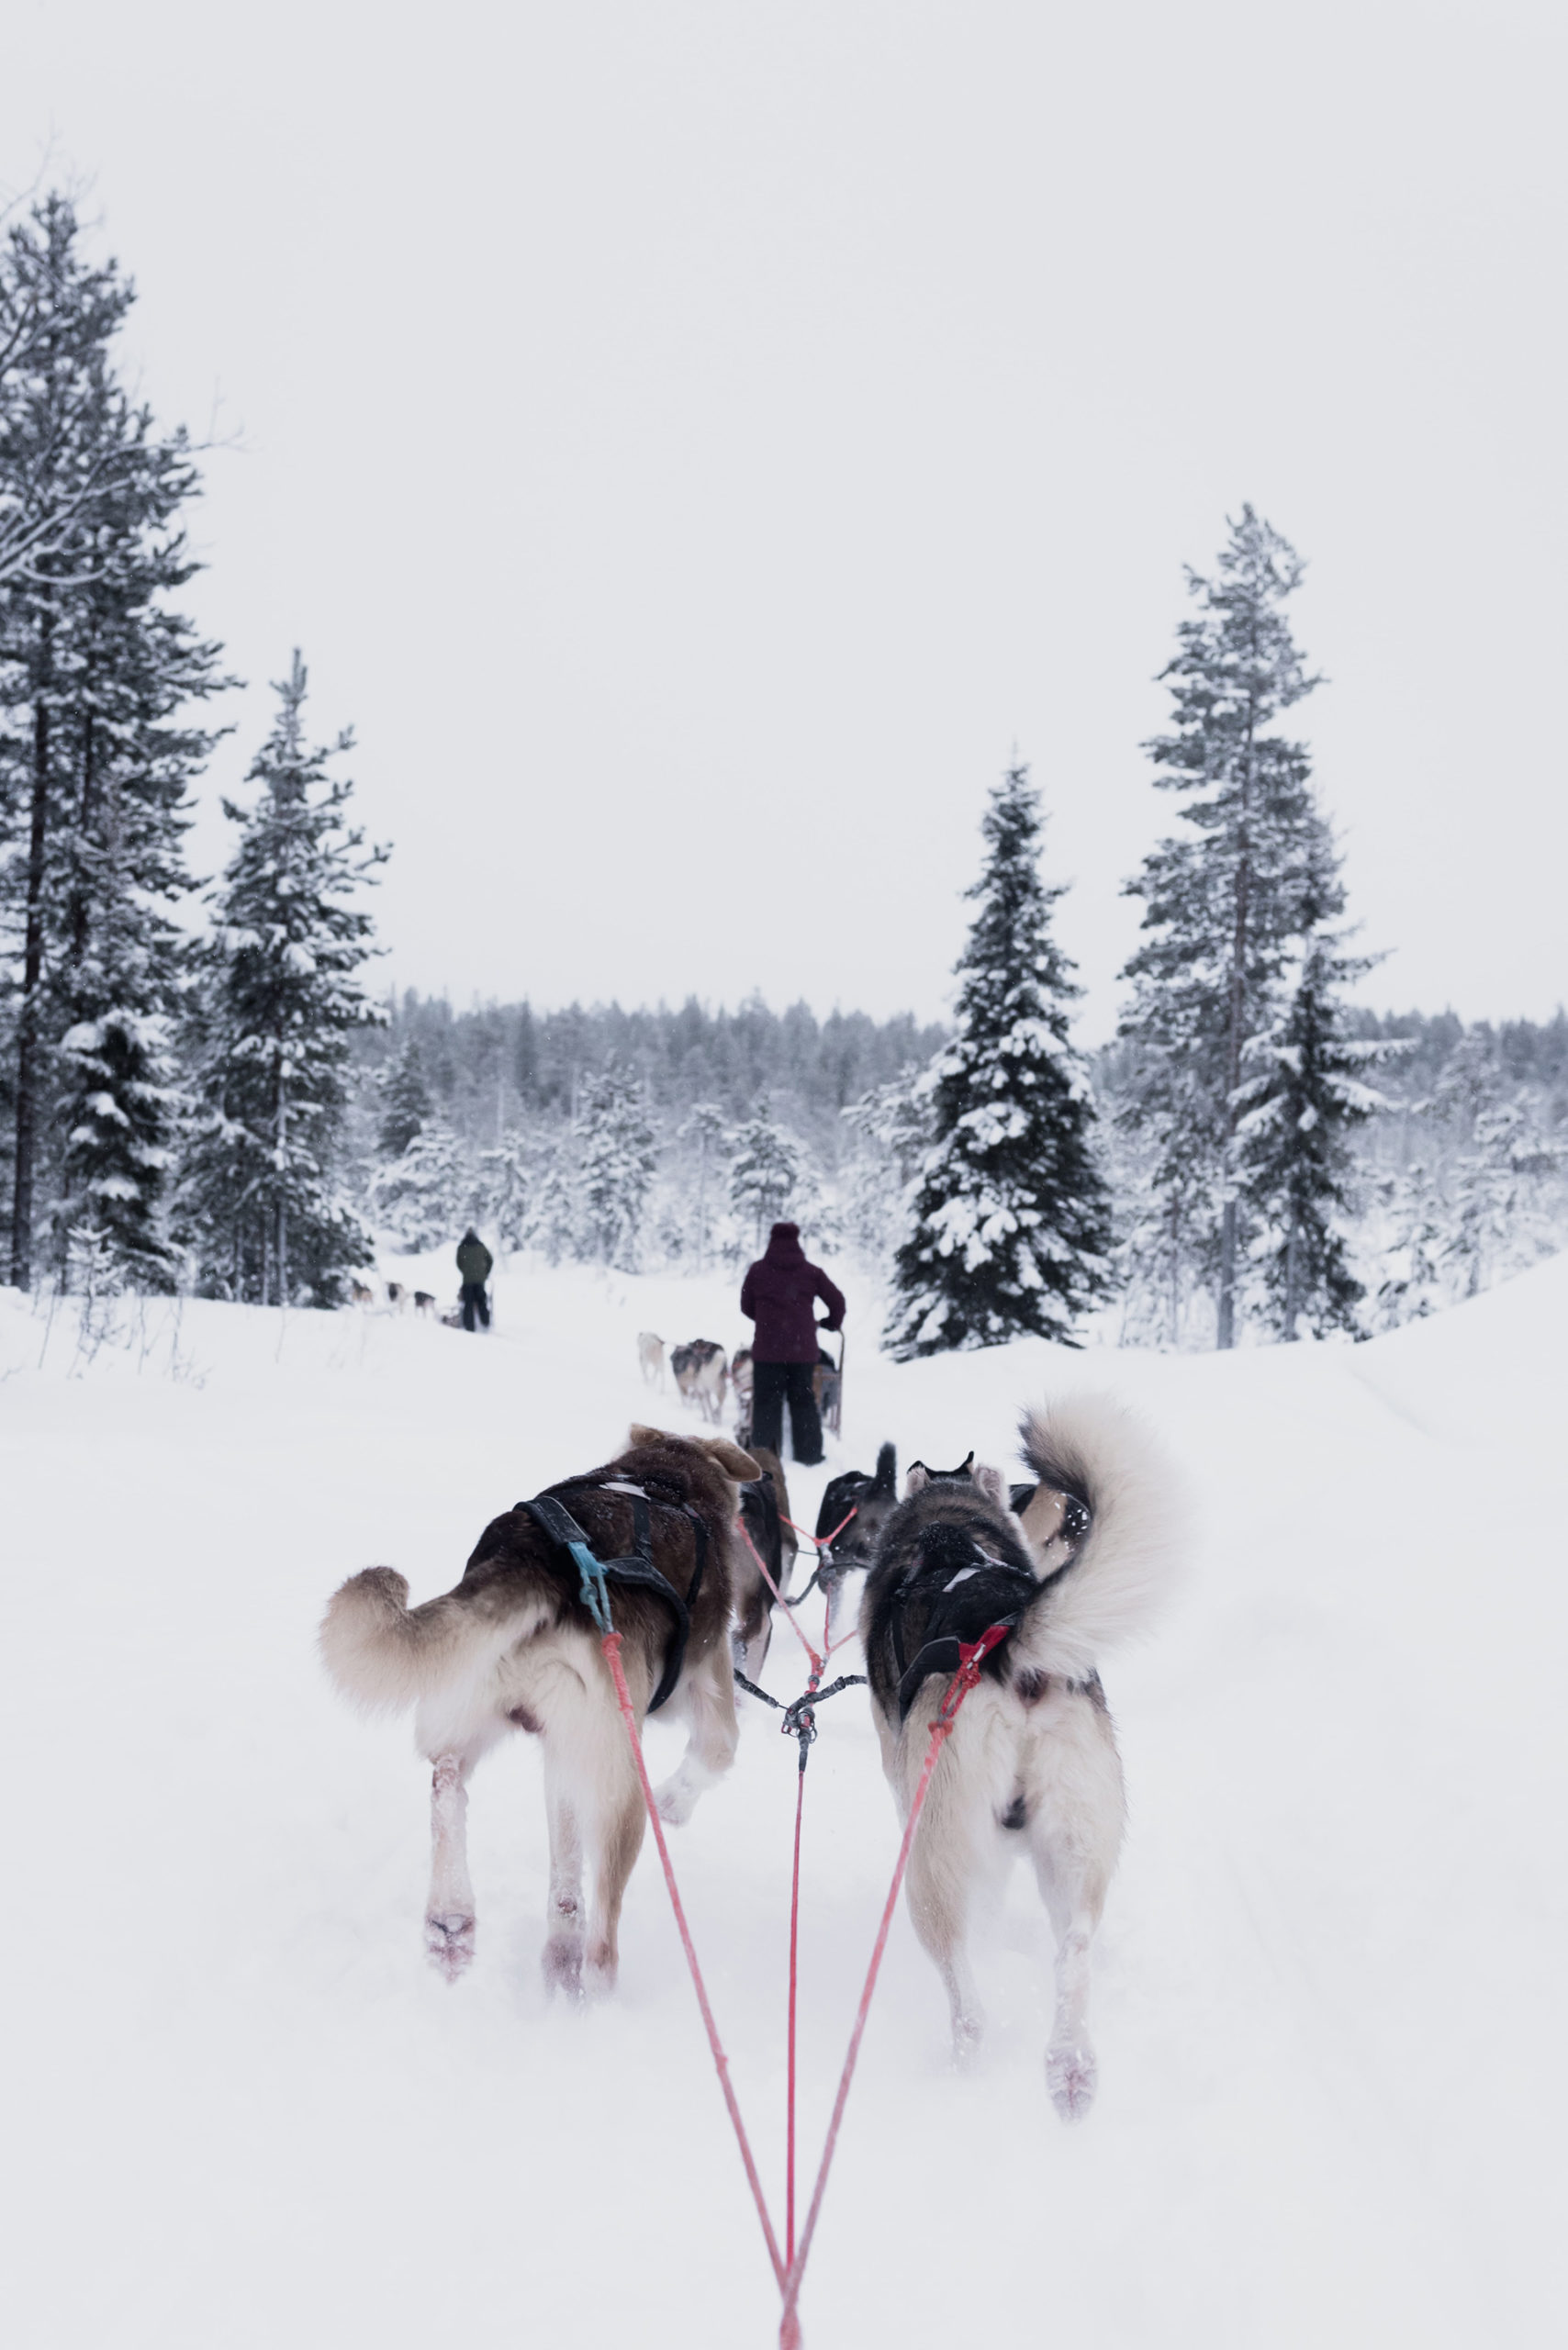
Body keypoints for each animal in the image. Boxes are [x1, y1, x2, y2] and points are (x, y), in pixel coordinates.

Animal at [319, 1419, 761, 1992]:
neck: (666, 1475)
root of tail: (536, 1562)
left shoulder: (562, 1756)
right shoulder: (709, 1685)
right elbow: (716, 1753)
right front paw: (675, 1803)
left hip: (482, 1706)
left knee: (449, 1785)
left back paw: (454, 1923)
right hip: (620, 1785)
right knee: (601, 1937)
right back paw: (594, 1989)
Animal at [865, 1400, 1184, 2124]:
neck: (949, 1532)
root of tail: (1009, 1645)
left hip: (932, 1858)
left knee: (965, 1992)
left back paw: (965, 2061)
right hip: (1075, 1844)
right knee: (1074, 1951)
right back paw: (1070, 2068)